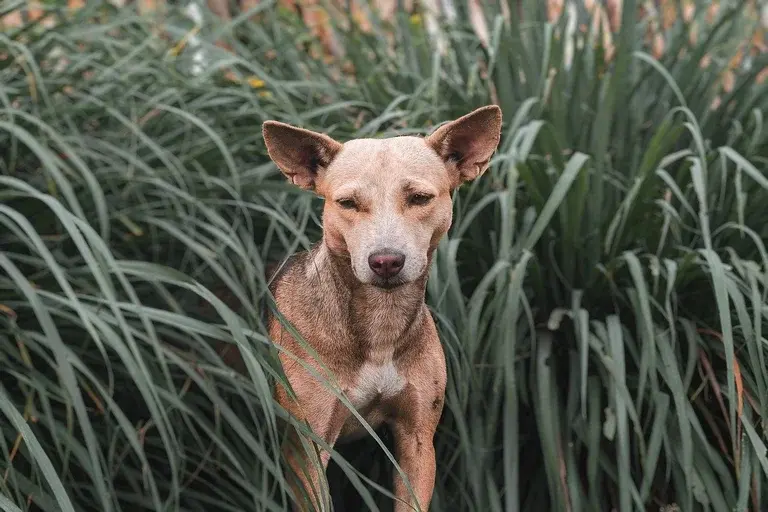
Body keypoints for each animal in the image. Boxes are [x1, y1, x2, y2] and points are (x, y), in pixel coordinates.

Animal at [262, 106, 504, 510]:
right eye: (347, 203)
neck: (380, 326)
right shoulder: (307, 449)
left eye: (420, 198)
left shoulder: (417, 440)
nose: (386, 261)